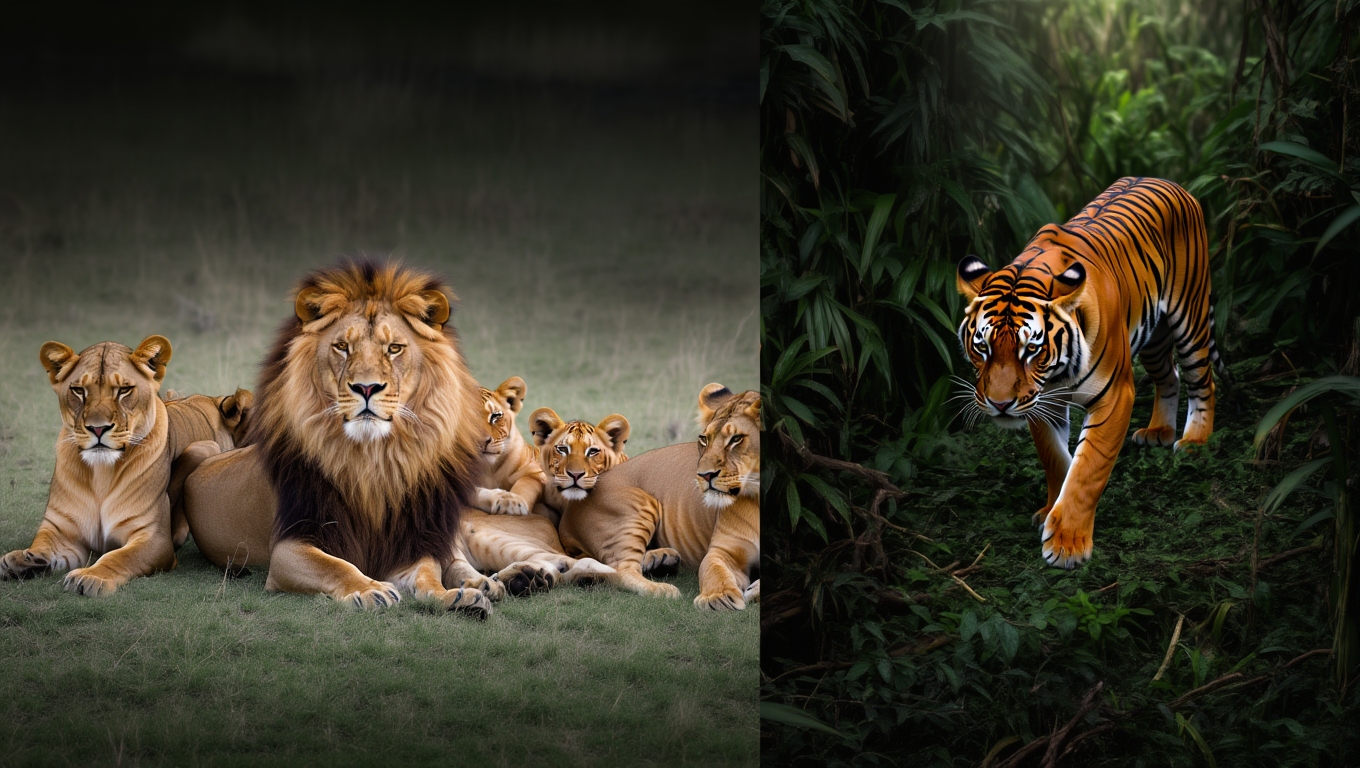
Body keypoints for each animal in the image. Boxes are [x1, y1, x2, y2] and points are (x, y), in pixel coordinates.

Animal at [0, 336, 178, 596]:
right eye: (78, 391)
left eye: (124, 390)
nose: (98, 428)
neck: (101, 473)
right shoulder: (61, 531)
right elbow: (43, 543)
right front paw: (23, 559)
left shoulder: (155, 538)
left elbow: (120, 557)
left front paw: (90, 576)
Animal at [181, 260, 491, 617]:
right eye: (342, 347)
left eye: (394, 349)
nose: (367, 387)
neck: (371, 463)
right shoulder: (288, 547)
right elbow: (337, 565)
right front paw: (370, 590)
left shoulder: (409, 542)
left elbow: (429, 575)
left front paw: (456, 596)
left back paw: (487, 584)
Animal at [557, 384, 761, 610]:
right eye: (704, 439)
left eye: (736, 439)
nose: (704, 475)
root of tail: (567, 514)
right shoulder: (722, 551)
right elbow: (713, 570)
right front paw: (718, 597)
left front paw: (752, 590)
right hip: (639, 506)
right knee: (619, 568)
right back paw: (662, 588)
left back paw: (661, 560)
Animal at [955, 176, 1221, 569]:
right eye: (982, 347)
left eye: (1030, 350)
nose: (1000, 404)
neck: (1057, 373)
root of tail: (1169, 182)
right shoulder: (1042, 403)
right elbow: (1056, 461)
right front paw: (1051, 511)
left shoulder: (1114, 396)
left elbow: (1087, 470)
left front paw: (1067, 544)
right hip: (1154, 337)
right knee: (1169, 376)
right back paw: (1159, 431)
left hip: (1190, 316)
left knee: (1202, 380)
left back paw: (1194, 443)